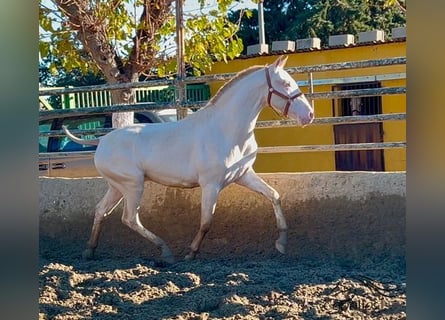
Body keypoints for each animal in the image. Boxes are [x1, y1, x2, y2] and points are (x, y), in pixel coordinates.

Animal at [62, 56, 314, 264]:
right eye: (286, 84)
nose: (309, 115)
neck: (227, 130)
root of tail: (102, 140)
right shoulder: (211, 185)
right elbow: (206, 222)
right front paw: (191, 253)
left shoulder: (243, 176)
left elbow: (274, 196)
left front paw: (281, 244)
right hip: (133, 185)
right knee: (130, 218)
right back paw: (165, 252)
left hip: (117, 186)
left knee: (100, 211)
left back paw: (90, 250)